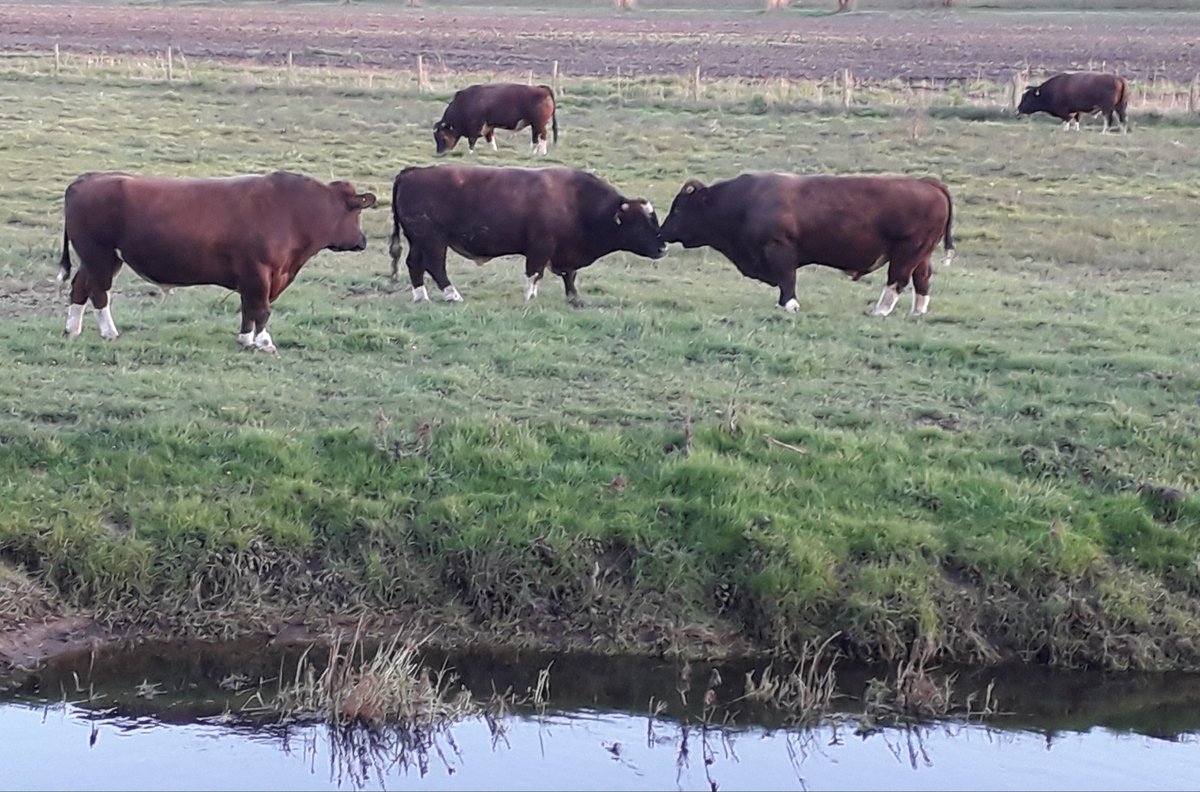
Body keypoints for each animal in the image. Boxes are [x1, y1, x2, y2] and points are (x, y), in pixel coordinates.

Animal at [57, 171, 376, 352]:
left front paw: (246, 339)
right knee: (99, 292)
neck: (294, 210)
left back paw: (72, 330)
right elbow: (261, 309)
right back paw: (109, 332)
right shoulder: (260, 273)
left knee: (80, 288)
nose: (362, 240)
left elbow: (248, 308)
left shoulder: (254, 277)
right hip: (99, 255)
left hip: (97, 259)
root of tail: (89, 178)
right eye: (357, 212)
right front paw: (264, 343)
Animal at [388, 164, 666, 306]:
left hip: (419, 241)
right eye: (641, 223)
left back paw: (421, 296)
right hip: (433, 240)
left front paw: (574, 297)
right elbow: (535, 273)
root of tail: (412, 172)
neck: (576, 201)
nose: (663, 247)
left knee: (414, 264)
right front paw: (530, 296)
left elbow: (570, 275)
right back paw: (452, 295)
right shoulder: (541, 248)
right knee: (435, 266)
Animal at [659, 173, 955, 317]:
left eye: (679, 209)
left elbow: (787, 279)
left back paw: (880, 310)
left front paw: (789, 306)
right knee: (922, 279)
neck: (745, 202)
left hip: (906, 253)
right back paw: (917, 312)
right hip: (921, 255)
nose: (662, 232)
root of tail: (928, 184)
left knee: (897, 281)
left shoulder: (779, 249)